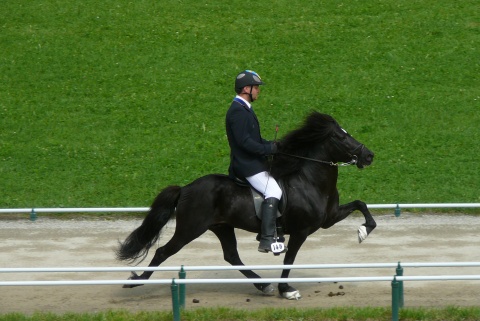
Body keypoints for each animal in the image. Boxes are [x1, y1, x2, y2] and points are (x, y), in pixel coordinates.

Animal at [116, 111, 376, 298]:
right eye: (341, 137)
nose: (369, 155)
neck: (309, 180)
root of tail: (186, 188)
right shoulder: (301, 231)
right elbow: (289, 259)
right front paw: (286, 290)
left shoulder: (329, 218)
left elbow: (361, 204)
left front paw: (363, 231)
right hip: (190, 229)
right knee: (163, 251)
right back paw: (136, 281)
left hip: (221, 227)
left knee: (232, 256)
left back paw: (263, 285)